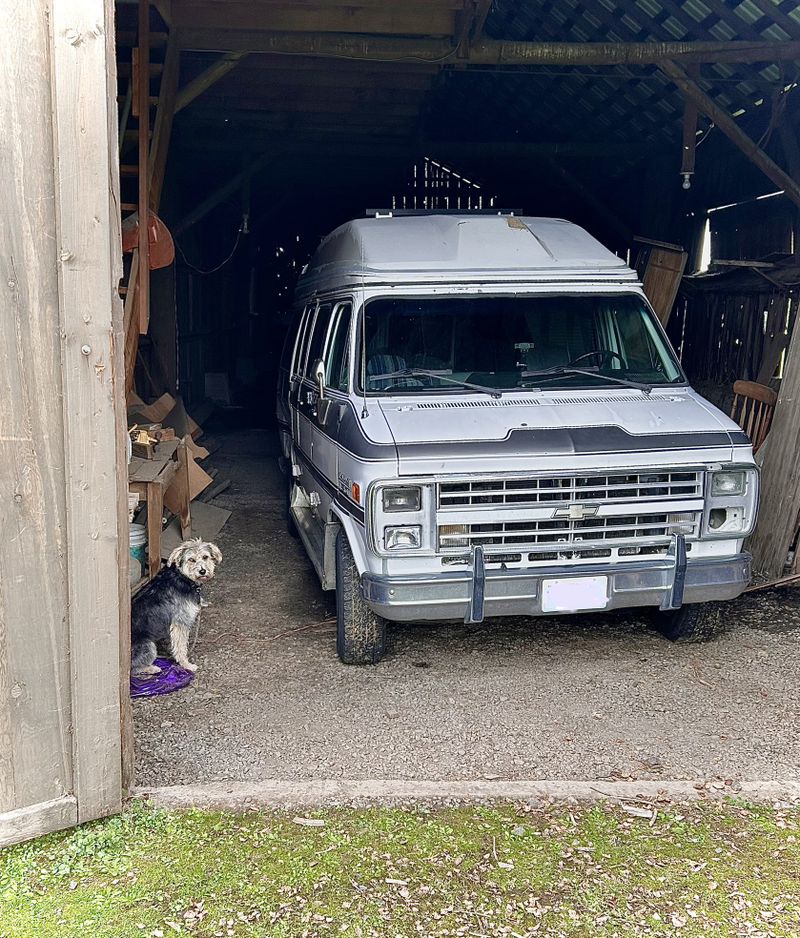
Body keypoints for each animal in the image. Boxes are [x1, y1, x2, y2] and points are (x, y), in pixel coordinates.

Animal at [132, 540, 222, 672]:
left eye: (205, 557)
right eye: (191, 559)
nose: (202, 571)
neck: (183, 577)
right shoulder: (180, 623)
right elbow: (180, 647)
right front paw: (186, 664)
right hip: (149, 646)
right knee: (133, 668)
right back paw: (152, 668)